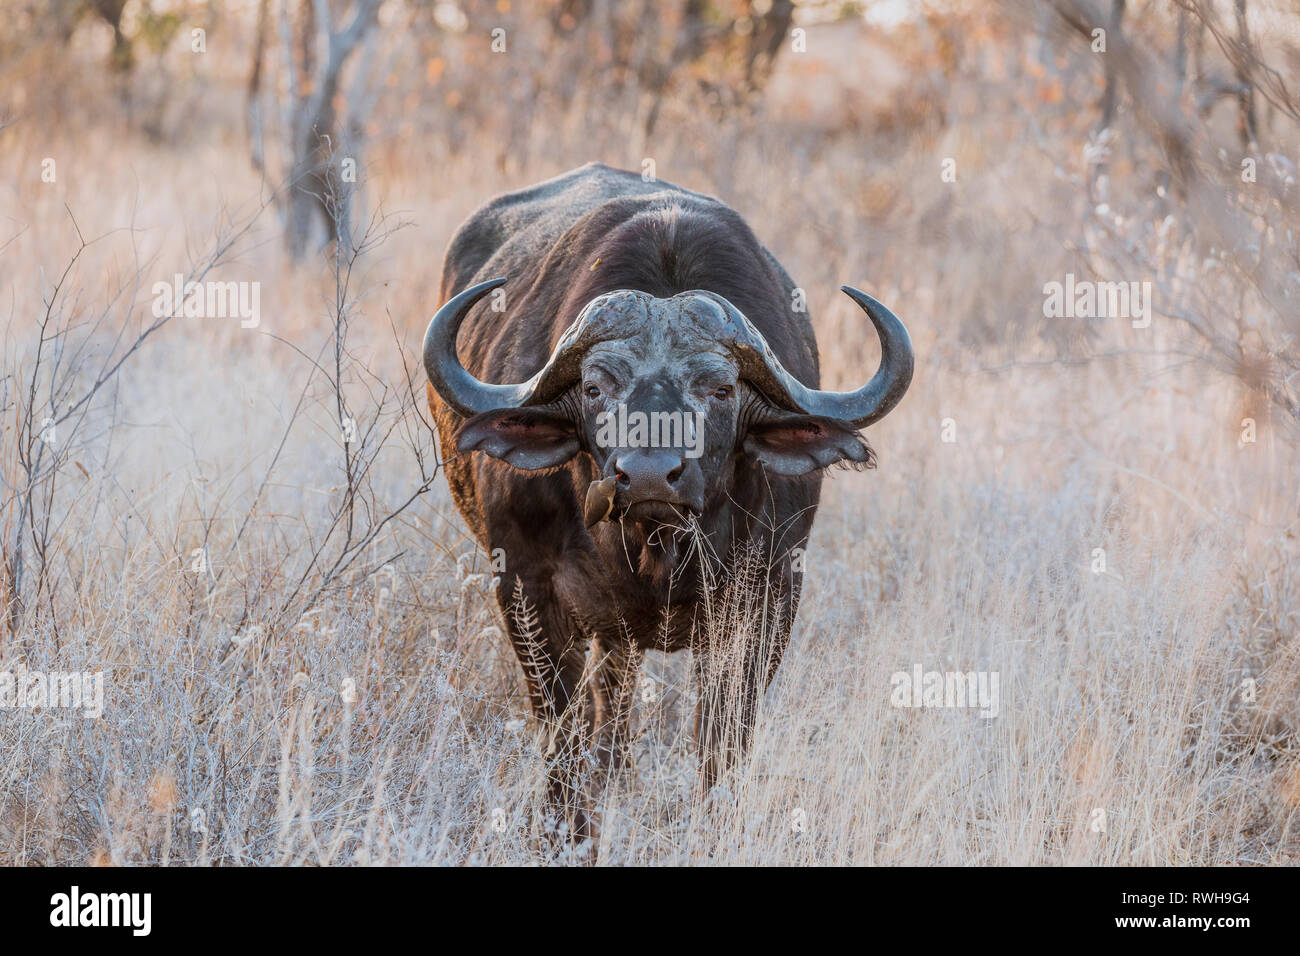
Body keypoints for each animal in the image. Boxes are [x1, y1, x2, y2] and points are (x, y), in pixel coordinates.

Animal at [421, 160, 909, 848]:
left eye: (721, 389)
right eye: (595, 389)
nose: (650, 476)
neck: (652, 551)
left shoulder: (770, 598)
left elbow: (723, 738)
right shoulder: (523, 586)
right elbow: (562, 731)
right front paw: (569, 831)